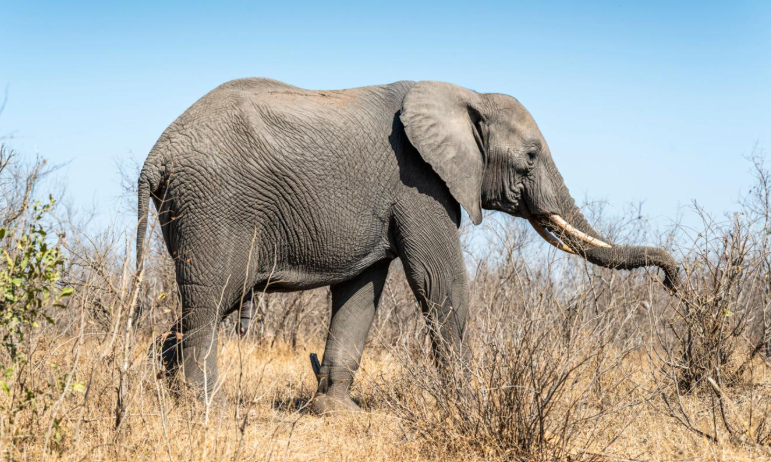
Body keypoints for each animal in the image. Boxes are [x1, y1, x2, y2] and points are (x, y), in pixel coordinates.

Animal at [136, 78, 679, 414]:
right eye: (530, 157)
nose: (675, 282)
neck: (466, 94)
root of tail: (156, 155)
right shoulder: (419, 181)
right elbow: (440, 280)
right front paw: (467, 405)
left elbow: (361, 292)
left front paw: (338, 412)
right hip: (214, 206)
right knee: (211, 300)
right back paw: (207, 406)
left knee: (202, 304)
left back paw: (169, 394)